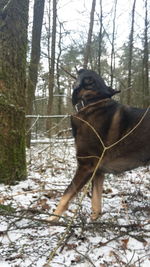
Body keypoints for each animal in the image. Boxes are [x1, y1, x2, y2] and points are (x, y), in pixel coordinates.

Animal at [49, 68, 150, 222]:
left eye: (87, 77)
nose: (80, 69)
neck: (92, 102)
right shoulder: (98, 172)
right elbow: (96, 203)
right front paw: (93, 221)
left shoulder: (86, 166)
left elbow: (66, 195)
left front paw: (50, 220)